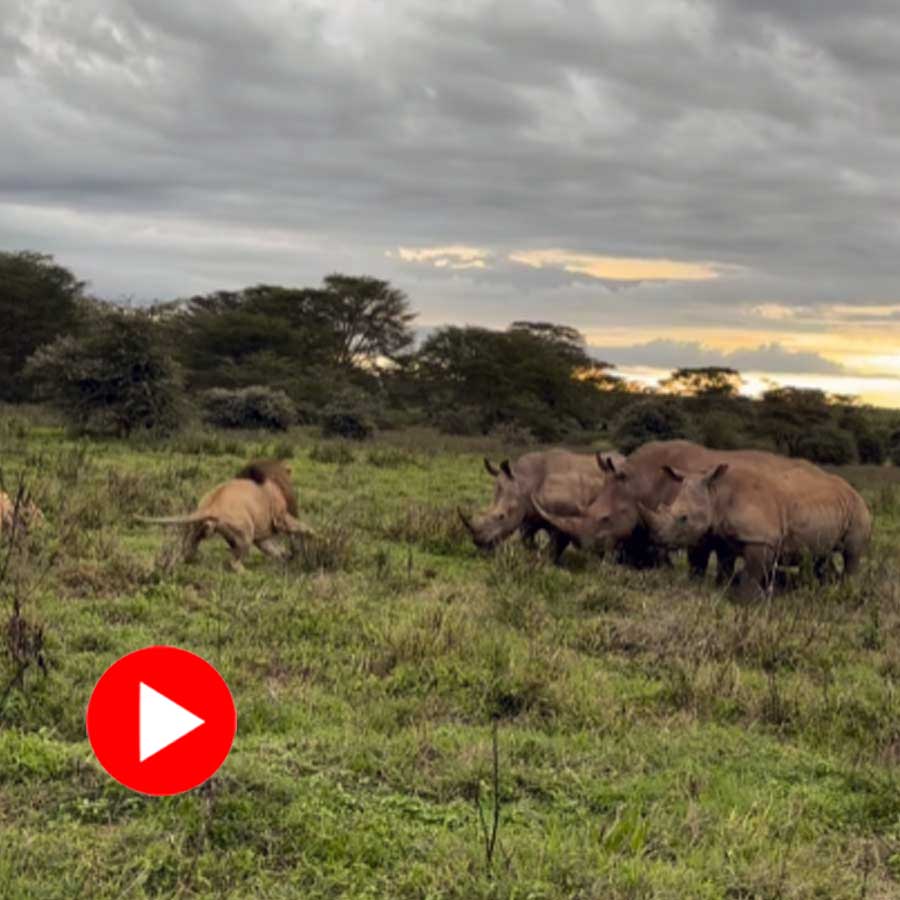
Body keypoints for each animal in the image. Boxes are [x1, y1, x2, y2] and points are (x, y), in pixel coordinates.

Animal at [136, 458, 314, 572]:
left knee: (188, 550)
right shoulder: (280, 518)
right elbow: (302, 527)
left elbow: (272, 548)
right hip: (245, 532)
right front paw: (315, 536)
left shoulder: (261, 535)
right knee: (234, 563)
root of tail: (211, 506)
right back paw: (245, 571)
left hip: (199, 530)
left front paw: (285, 556)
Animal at [458, 449, 625, 563]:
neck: (524, 481)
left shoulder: (566, 516)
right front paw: (533, 553)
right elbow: (527, 538)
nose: (478, 542)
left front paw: (549, 562)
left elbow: (557, 543)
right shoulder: (529, 514)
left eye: (501, 516)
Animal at [639, 461, 872, 600]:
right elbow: (723, 563)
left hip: (858, 508)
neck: (716, 494)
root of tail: (852, 489)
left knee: (851, 553)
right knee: (820, 555)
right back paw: (821, 589)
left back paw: (845, 592)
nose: (656, 540)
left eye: (684, 518)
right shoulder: (720, 535)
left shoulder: (759, 539)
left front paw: (747, 599)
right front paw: (720, 588)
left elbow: (752, 571)